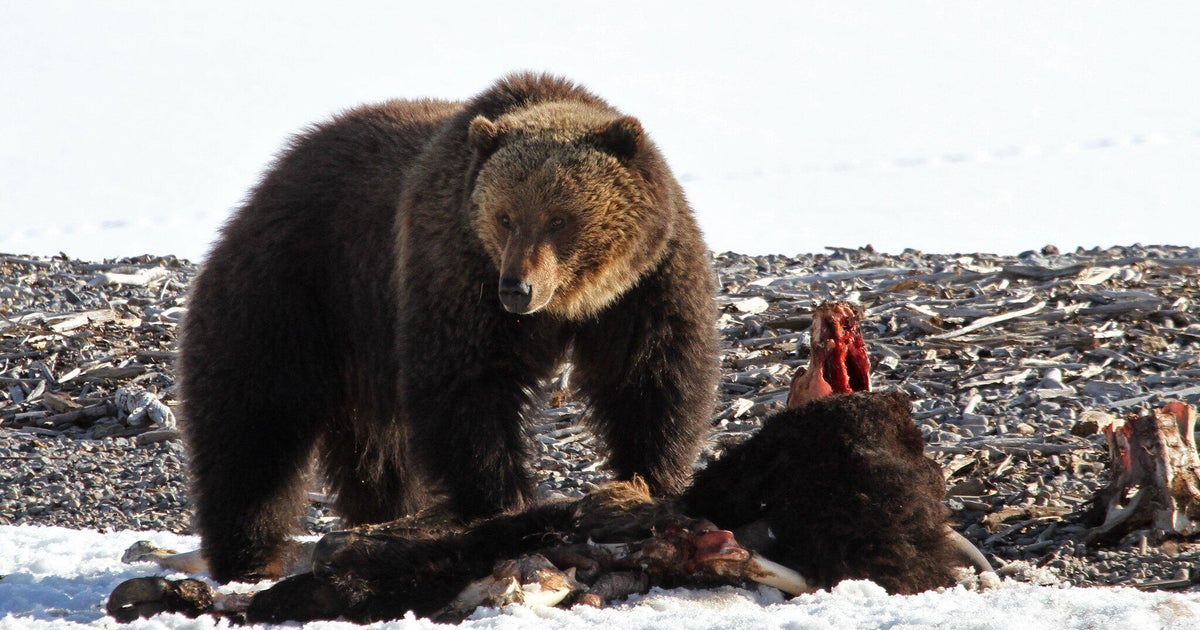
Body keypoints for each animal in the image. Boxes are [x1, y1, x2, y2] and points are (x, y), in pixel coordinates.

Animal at [178, 73, 719, 584]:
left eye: (560, 219)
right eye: (505, 217)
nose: (517, 288)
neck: (572, 303)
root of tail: (273, 175)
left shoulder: (647, 283)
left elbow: (652, 377)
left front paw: (646, 484)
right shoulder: (456, 270)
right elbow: (467, 387)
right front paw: (502, 503)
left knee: (377, 452)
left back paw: (383, 515)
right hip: (297, 288)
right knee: (252, 425)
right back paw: (249, 555)